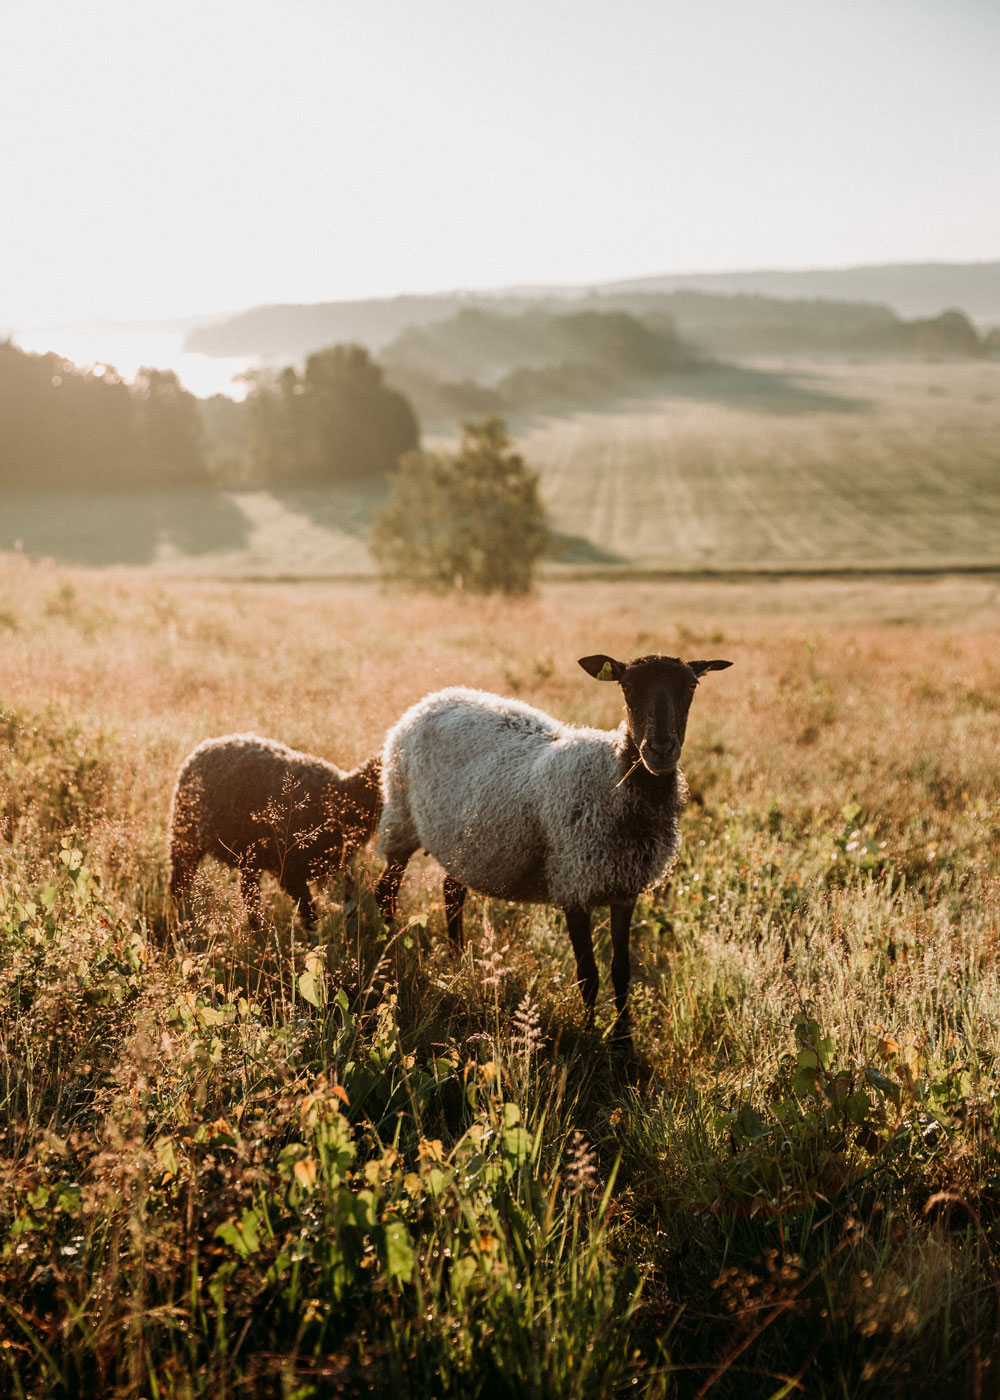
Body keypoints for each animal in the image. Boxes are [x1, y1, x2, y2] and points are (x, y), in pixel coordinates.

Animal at [167, 733, 378, 929]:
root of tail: (207, 744)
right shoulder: (289, 870)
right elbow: (309, 915)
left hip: (249, 858)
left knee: (249, 895)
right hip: (185, 837)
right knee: (178, 885)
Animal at [369, 652, 728, 1041]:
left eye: (690, 686)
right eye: (627, 687)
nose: (660, 750)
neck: (614, 780)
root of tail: (435, 697)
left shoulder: (625, 889)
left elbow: (621, 970)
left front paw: (623, 1038)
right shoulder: (573, 883)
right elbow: (588, 974)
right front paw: (590, 1036)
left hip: (465, 843)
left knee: (451, 892)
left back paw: (457, 960)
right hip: (401, 816)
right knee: (386, 890)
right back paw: (389, 955)